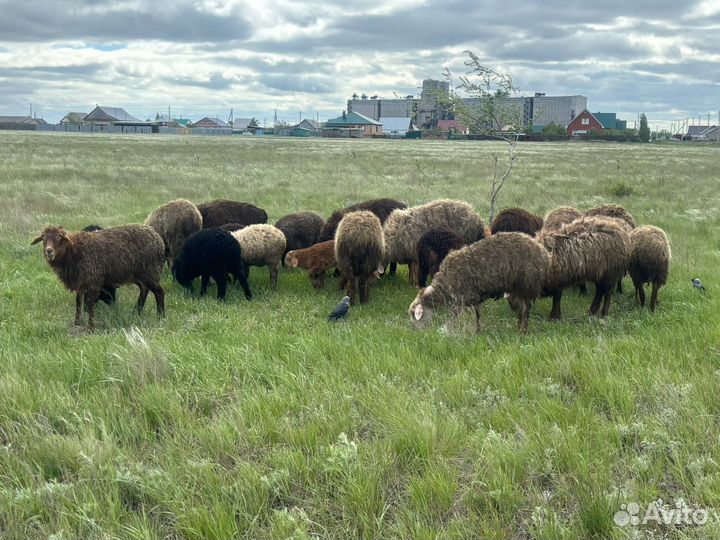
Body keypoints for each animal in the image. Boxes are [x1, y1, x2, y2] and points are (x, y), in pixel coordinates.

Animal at [31, 225, 165, 331]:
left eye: (59, 236)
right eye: (43, 237)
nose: (49, 251)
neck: (74, 250)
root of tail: (158, 238)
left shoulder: (93, 280)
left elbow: (90, 304)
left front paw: (90, 328)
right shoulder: (80, 281)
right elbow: (78, 302)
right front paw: (77, 322)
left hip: (150, 271)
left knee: (159, 292)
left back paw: (160, 316)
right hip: (139, 274)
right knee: (144, 289)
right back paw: (136, 312)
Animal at [409, 232, 550, 334]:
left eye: (414, 315)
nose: (415, 332)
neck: (444, 285)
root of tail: (543, 252)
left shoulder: (464, 298)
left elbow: (458, 318)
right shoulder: (473, 299)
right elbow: (477, 316)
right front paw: (478, 332)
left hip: (527, 284)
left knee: (526, 311)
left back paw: (522, 332)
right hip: (518, 288)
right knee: (521, 311)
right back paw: (519, 328)